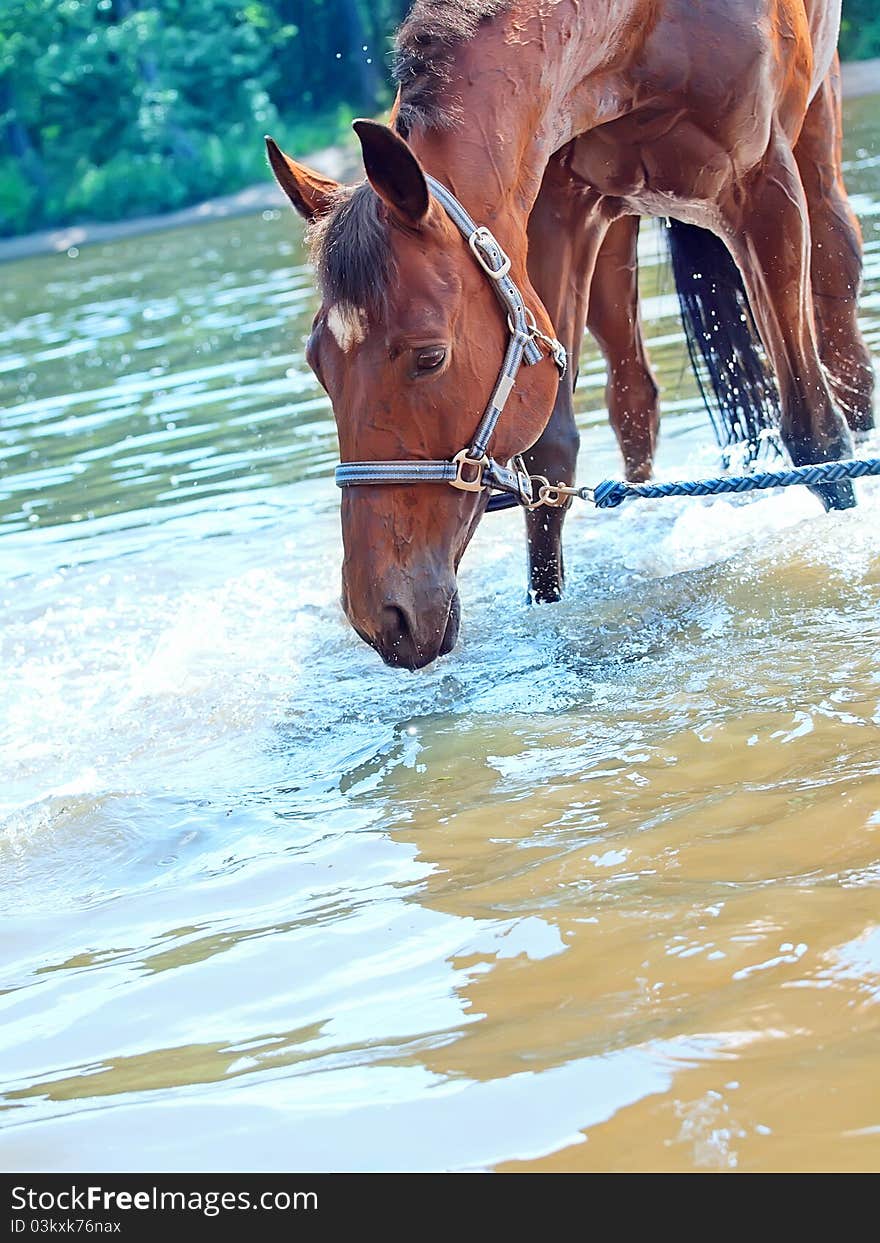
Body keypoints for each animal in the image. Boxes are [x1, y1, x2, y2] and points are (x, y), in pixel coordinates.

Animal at [265, 0, 875, 671]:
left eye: (429, 358)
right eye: (319, 365)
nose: (381, 616)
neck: (643, 32)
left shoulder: (766, 192)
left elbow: (816, 437)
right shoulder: (555, 214)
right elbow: (550, 461)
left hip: (816, 152)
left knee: (842, 329)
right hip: (614, 243)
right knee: (634, 398)